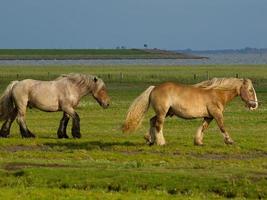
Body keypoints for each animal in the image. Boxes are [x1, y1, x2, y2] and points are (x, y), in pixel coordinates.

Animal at [122, 77, 258, 145]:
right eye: (250, 90)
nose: (255, 105)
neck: (217, 93)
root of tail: (154, 87)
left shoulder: (209, 116)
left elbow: (203, 127)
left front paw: (198, 142)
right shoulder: (216, 114)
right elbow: (222, 127)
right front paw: (229, 141)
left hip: (166, 113)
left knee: (152, 121)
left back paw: (150, 139)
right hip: (162, 112)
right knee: (158, 125)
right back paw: (161, 142)